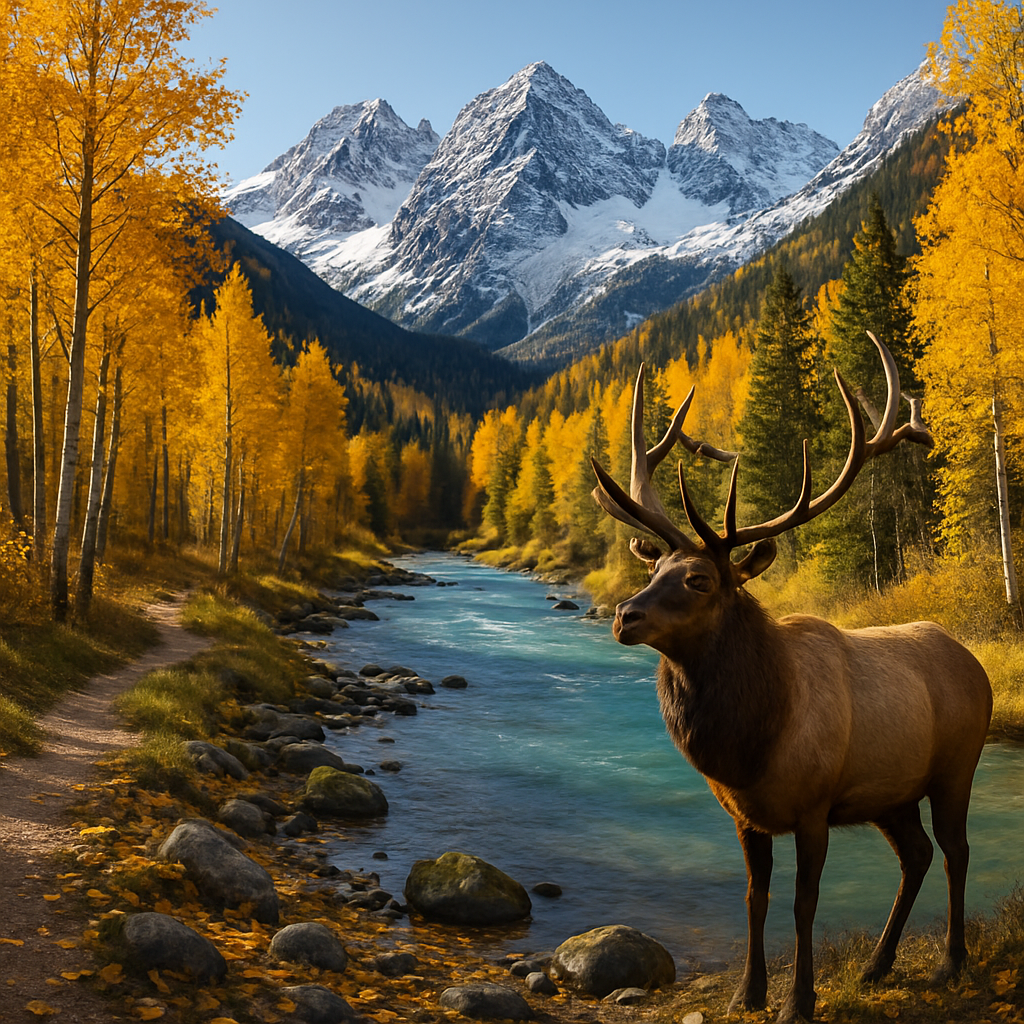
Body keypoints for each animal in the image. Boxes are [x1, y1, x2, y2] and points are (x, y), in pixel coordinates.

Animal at [590, 334, 993, 1024]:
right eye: (655, 568)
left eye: (699, 579)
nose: (624, 614)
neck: (752, 744)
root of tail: (974, 661)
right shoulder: (746, 815)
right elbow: (757, 899)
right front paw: (747, 994)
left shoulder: (813, 805)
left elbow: (806, 905)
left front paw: (798, 1001)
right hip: (890, 792)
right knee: (916, 855)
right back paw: (876, 964)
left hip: (955, 767)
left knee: (956, 853)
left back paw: (949, 962)